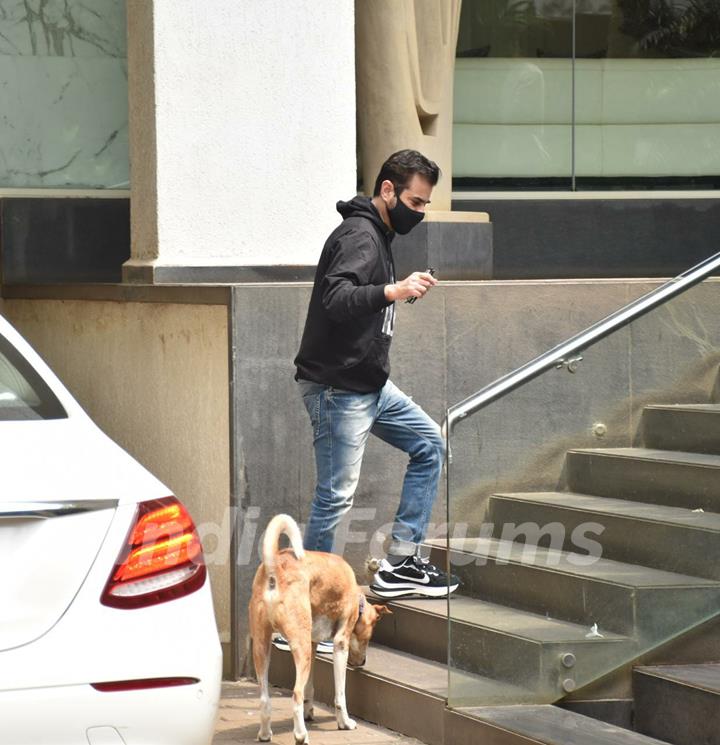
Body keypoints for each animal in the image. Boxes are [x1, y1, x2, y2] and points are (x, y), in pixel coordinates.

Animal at [249, 516, 394, 740]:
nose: (362, 662)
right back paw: (301, 735)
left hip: (262, 646)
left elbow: (310, 687)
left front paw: (309, 712)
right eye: (369, 638)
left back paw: (265, 734)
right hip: (299, 646)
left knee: (266, 699)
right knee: (296, 694)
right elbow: (340, 695)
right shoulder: (340, 643)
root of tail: (275, 567)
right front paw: (345, 722)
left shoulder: (313, 643)